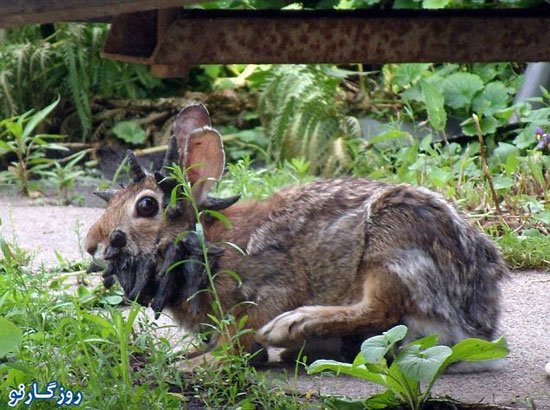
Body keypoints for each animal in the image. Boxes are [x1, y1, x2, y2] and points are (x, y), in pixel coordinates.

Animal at [85, 103, 508, 372]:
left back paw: (293, 327)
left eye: (146, 206)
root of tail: (477, 322)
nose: (92, 244)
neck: (204, 240)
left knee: (380, 309)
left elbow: (240, 339)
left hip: (391, 246)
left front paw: (200, 365)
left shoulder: (265, 289)